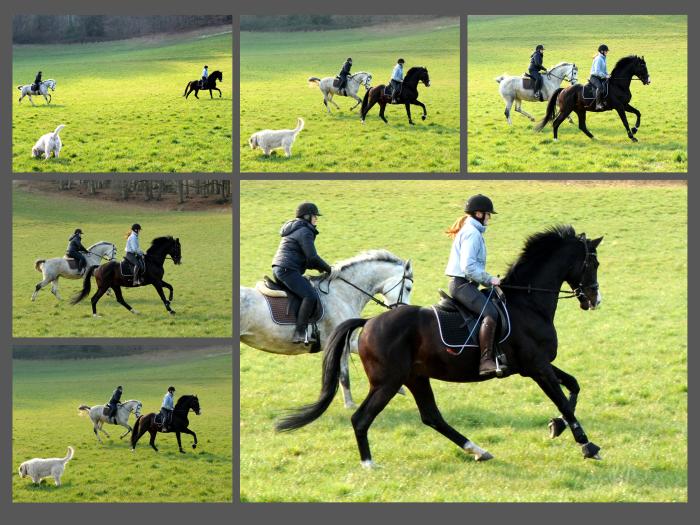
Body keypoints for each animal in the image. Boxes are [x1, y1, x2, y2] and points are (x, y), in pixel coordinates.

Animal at [278, 227, 600, 464]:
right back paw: (369, 463)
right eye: (593, 263)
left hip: (415, 377)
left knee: (431, 417)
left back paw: (477, 450)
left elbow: (573, 386)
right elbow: (563, 400)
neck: (528, 304)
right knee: (361, 418)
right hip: (388, 382)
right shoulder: (536, 366)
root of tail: (368, 322)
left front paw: (557, 426)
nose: (594, 300)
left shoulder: (538, 364)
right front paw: (586, 445)